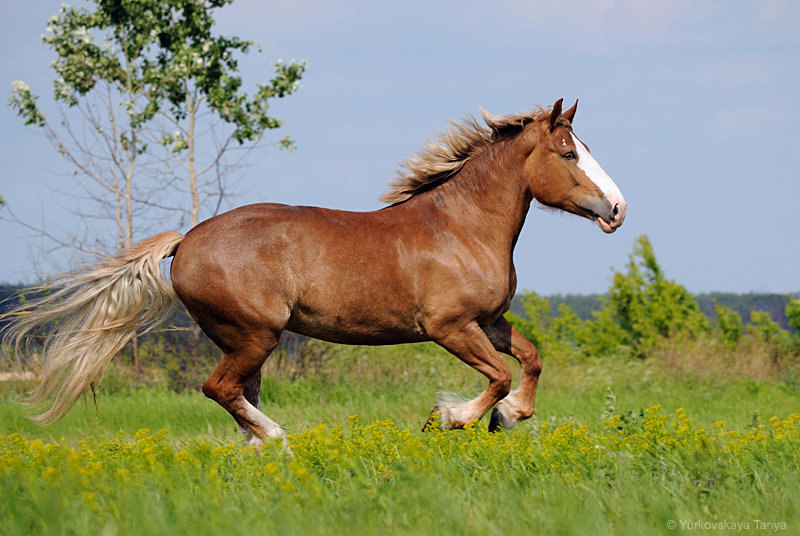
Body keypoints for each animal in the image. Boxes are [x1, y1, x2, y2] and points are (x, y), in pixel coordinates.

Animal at [1, 97, 624, 448]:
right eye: (569, 153)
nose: (617, 209)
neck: (462, 228)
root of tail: (186, 241)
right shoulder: (449, 327)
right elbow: (495, 376)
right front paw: (451, 418)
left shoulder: (489, 321)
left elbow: (531, 359)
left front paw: (510, 418)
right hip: (254, 334)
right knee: (219, 388)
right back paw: (277, 439)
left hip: (244, 340)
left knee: (238, 393)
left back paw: (261, 445)